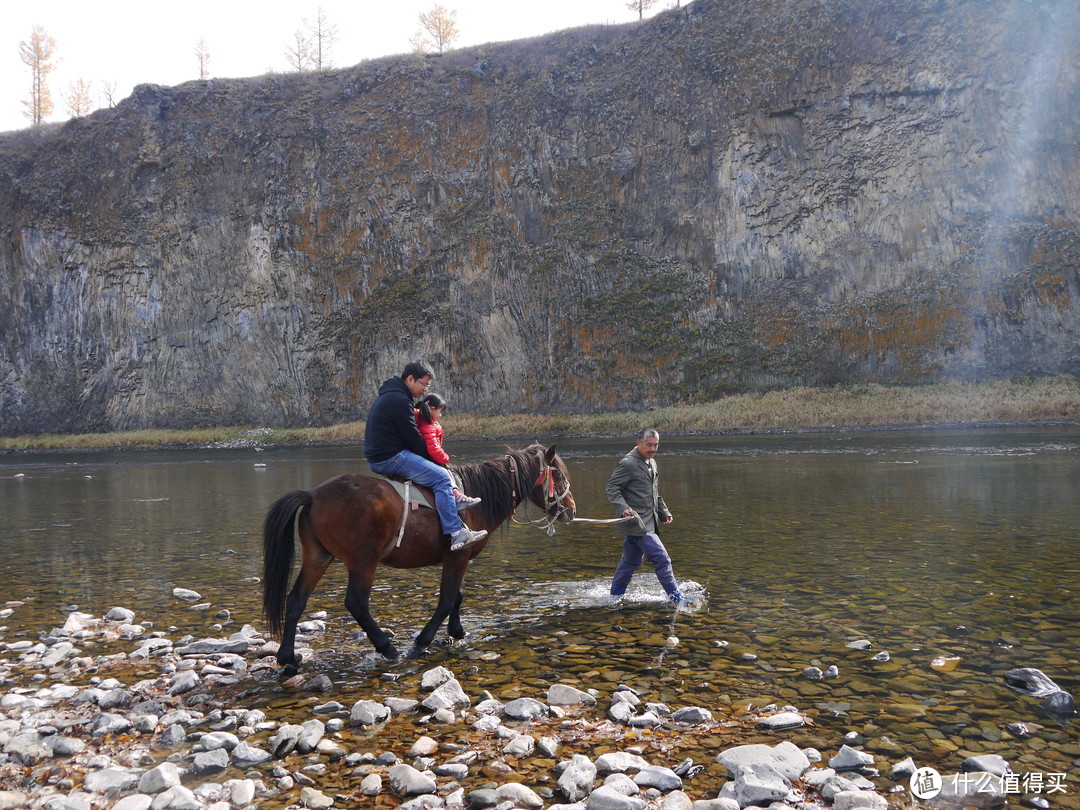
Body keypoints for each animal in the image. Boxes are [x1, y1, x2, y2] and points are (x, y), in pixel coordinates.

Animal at [260, 444, 574, 673]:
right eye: (557, 475)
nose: (571, 509)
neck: (477, 496)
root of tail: (312, 494)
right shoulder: (457, 557)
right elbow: (447, 599)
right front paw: (423, 641)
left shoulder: (457, 560)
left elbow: (457, 596)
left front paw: (457, 631)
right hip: (363, 562)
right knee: (356, 603)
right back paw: (387, 647)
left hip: (318, 557)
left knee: (296, 600)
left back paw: (287, 656)